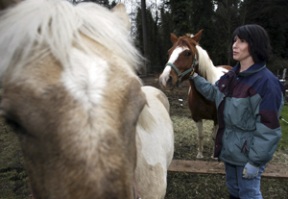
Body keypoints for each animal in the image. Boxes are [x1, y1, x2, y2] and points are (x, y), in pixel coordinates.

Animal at [159, 29, 231, 159]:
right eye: (169, 52)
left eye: (187, 53)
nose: (165, 79)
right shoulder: (197, 117)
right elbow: (200, 135)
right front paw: (200, 154)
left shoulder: (217, 118)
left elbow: (214, 136)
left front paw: (214, 156)